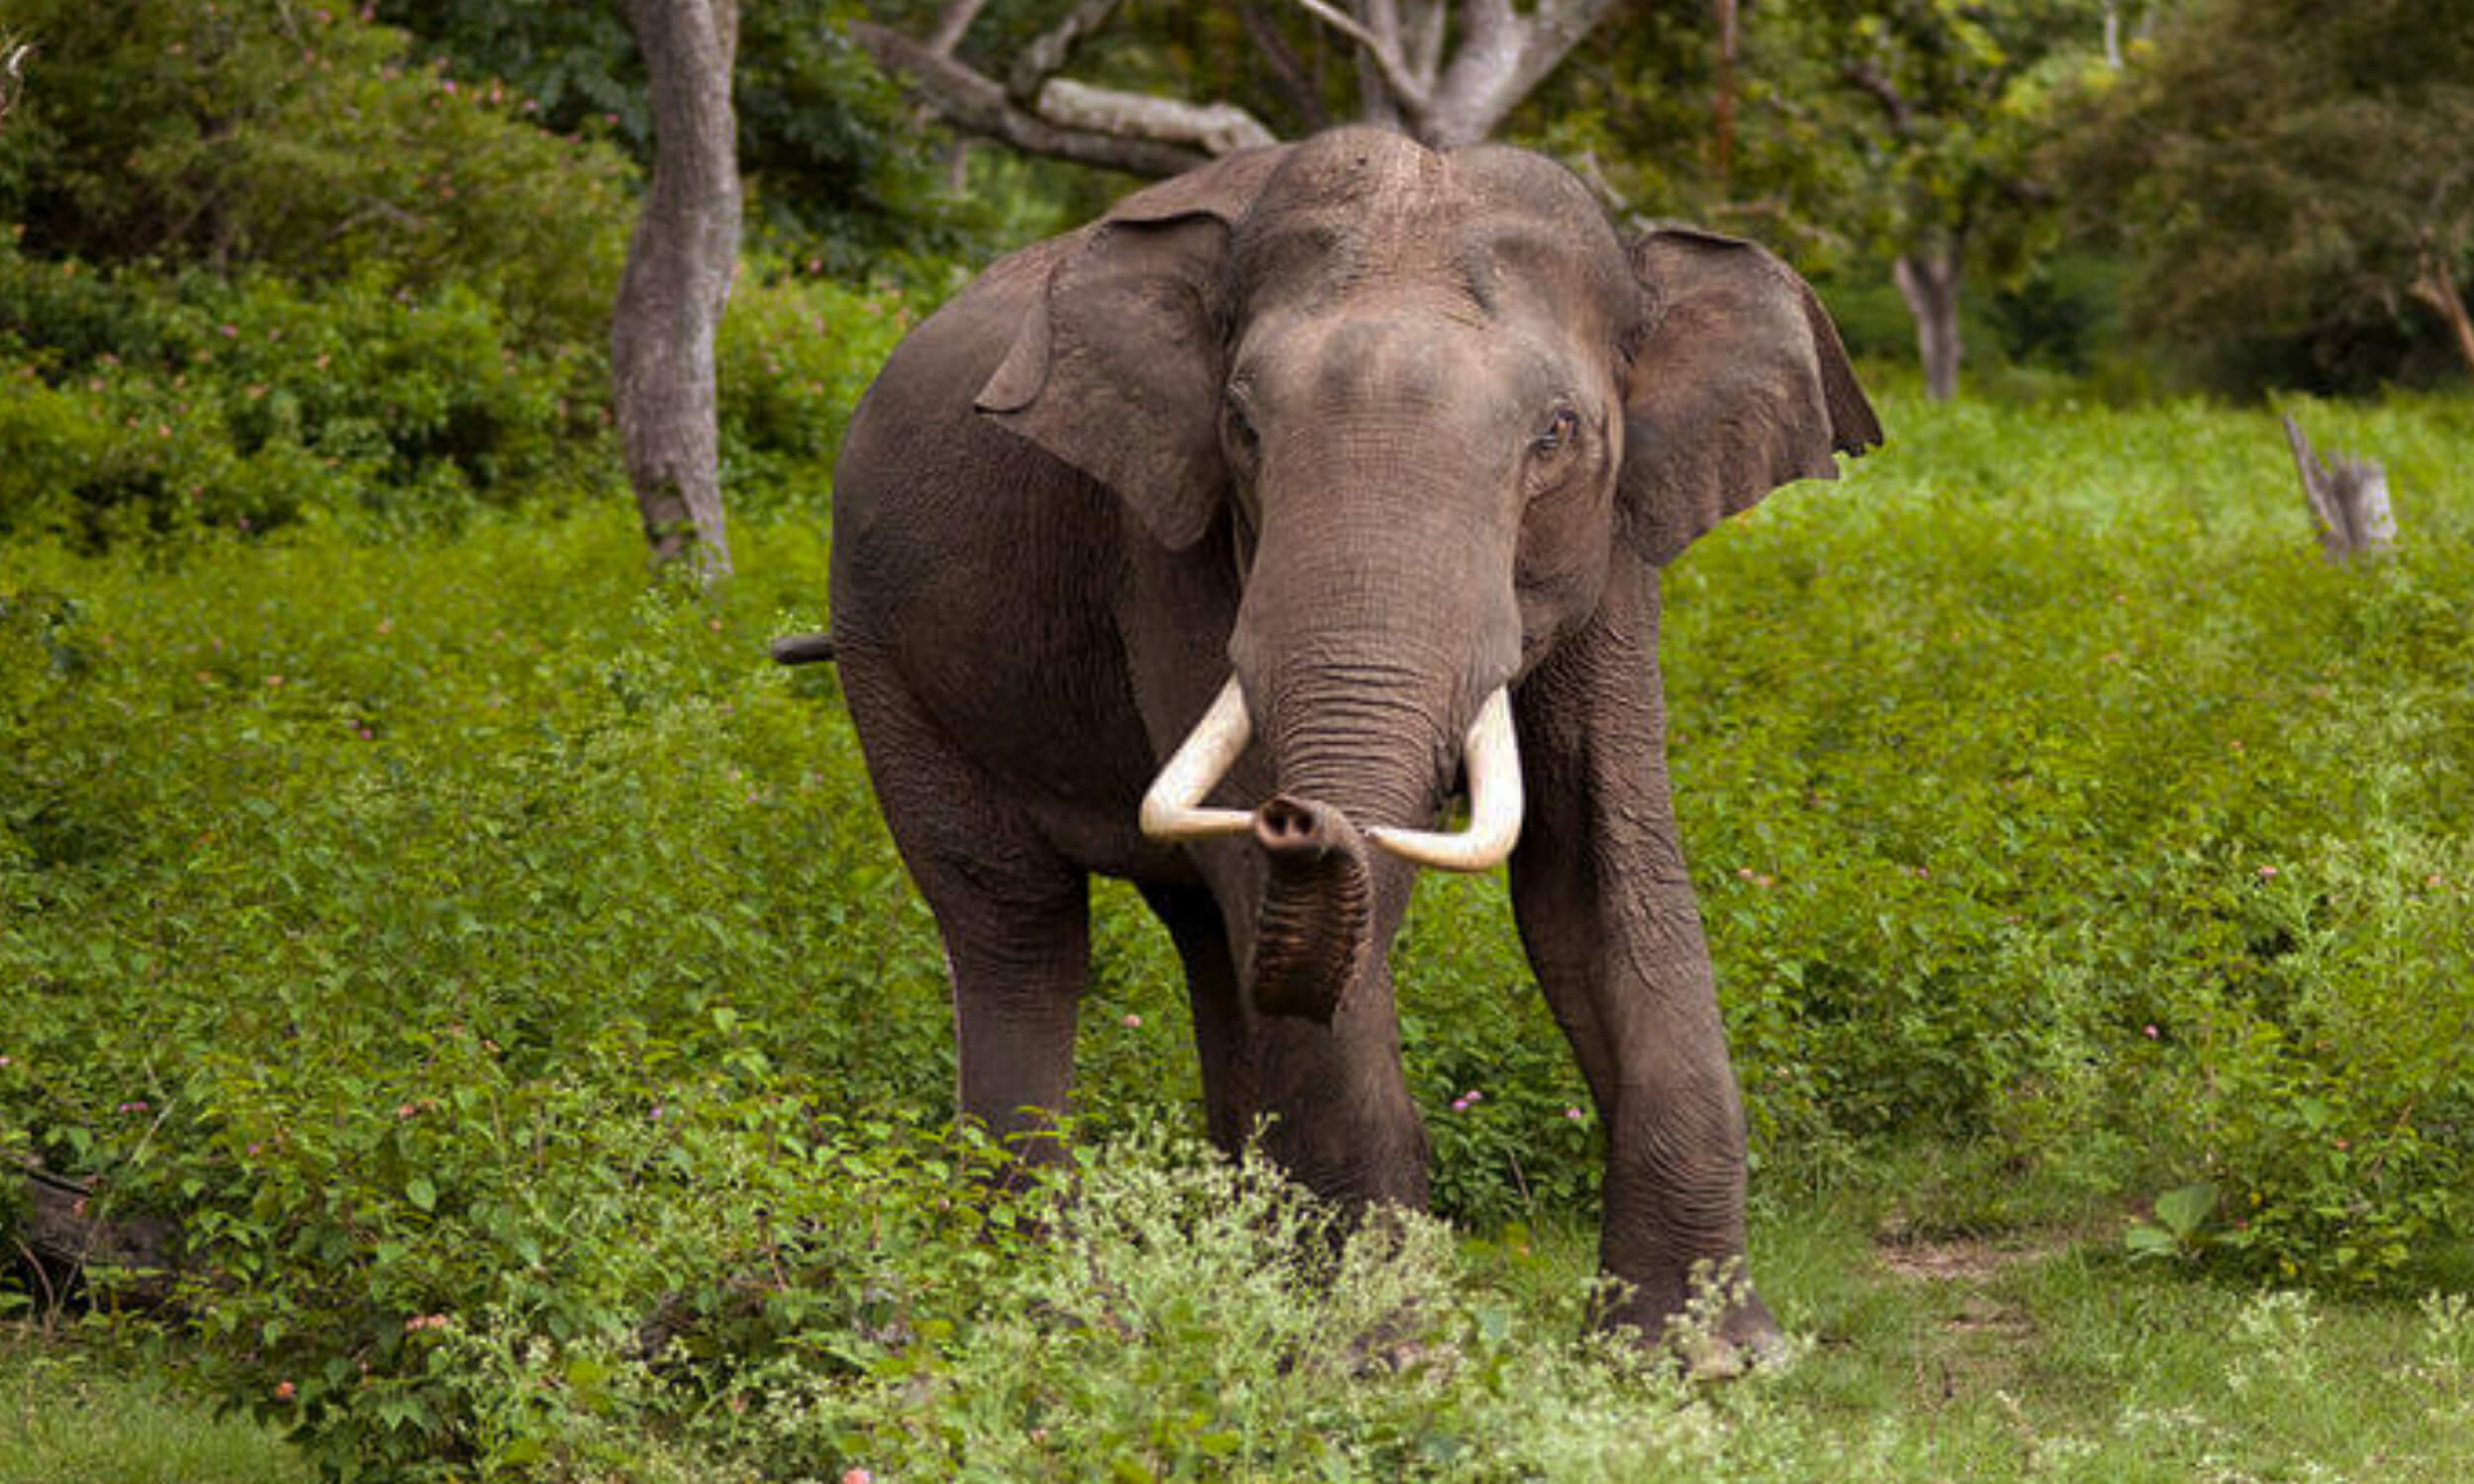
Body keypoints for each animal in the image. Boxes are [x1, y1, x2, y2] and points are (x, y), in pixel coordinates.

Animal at [811, 126, 1880, 1366]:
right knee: (1017, 924)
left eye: (1555, 434)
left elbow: (1596, 875)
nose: (1297, 814)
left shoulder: (1616, 549)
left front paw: (1704, 1358)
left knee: (1205, 935)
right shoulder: (1166, 541)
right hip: (881, 650)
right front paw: (1390, 1355)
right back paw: (1050, 1302)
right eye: (1241, 426)